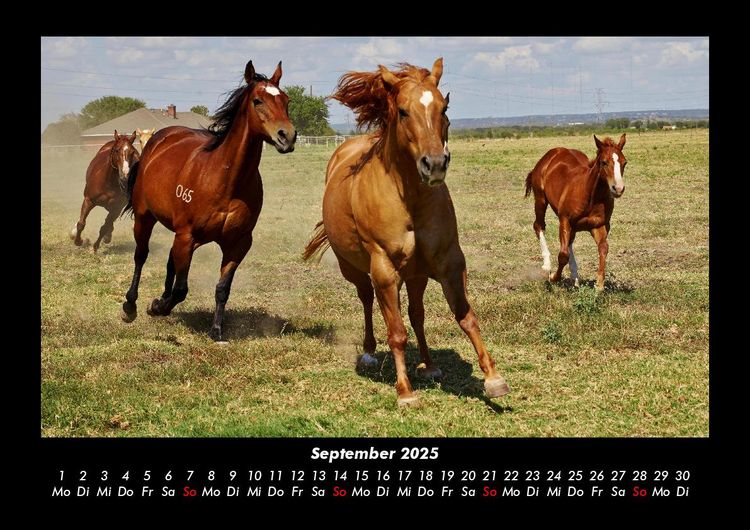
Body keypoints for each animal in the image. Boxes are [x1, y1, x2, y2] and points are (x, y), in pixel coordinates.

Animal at [120, 60, 297, 341]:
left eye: (286, 100)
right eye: (258, 100)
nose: (287, 136)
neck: (226, 181)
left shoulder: (238, 243)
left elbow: (222, 288)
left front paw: (216, 330)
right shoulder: (187, 235)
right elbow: (181, 289)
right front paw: (157, 307)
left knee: (170, 261)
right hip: (145, 218)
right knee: (141, 255)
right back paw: (131, 306)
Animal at [302, 58, 510, 407]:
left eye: (444, 107)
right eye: (402, 111)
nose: (435, 164)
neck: (409, 198)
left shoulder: (449, 262)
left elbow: (465, 316)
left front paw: (493, 379)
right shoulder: (385, 270)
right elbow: (396, 332)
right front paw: (405, 391)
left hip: (416, 274)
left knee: (417, 314)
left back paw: (428, 365)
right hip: (356, 269)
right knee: (368, 300)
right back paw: (370, 353)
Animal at [525, 134, 627, 292]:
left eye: (624, 163)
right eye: (604, 162)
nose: (618, 189)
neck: (591, 196)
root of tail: (552, 153)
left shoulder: (599, 225)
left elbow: (603, 248)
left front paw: (599, 285)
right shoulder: (564, 220)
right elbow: (563, 255)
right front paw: (553, 277)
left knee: (570, 241)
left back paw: (575, 277)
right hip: (540, 199)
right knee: (539, 225)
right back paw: (547, 265)